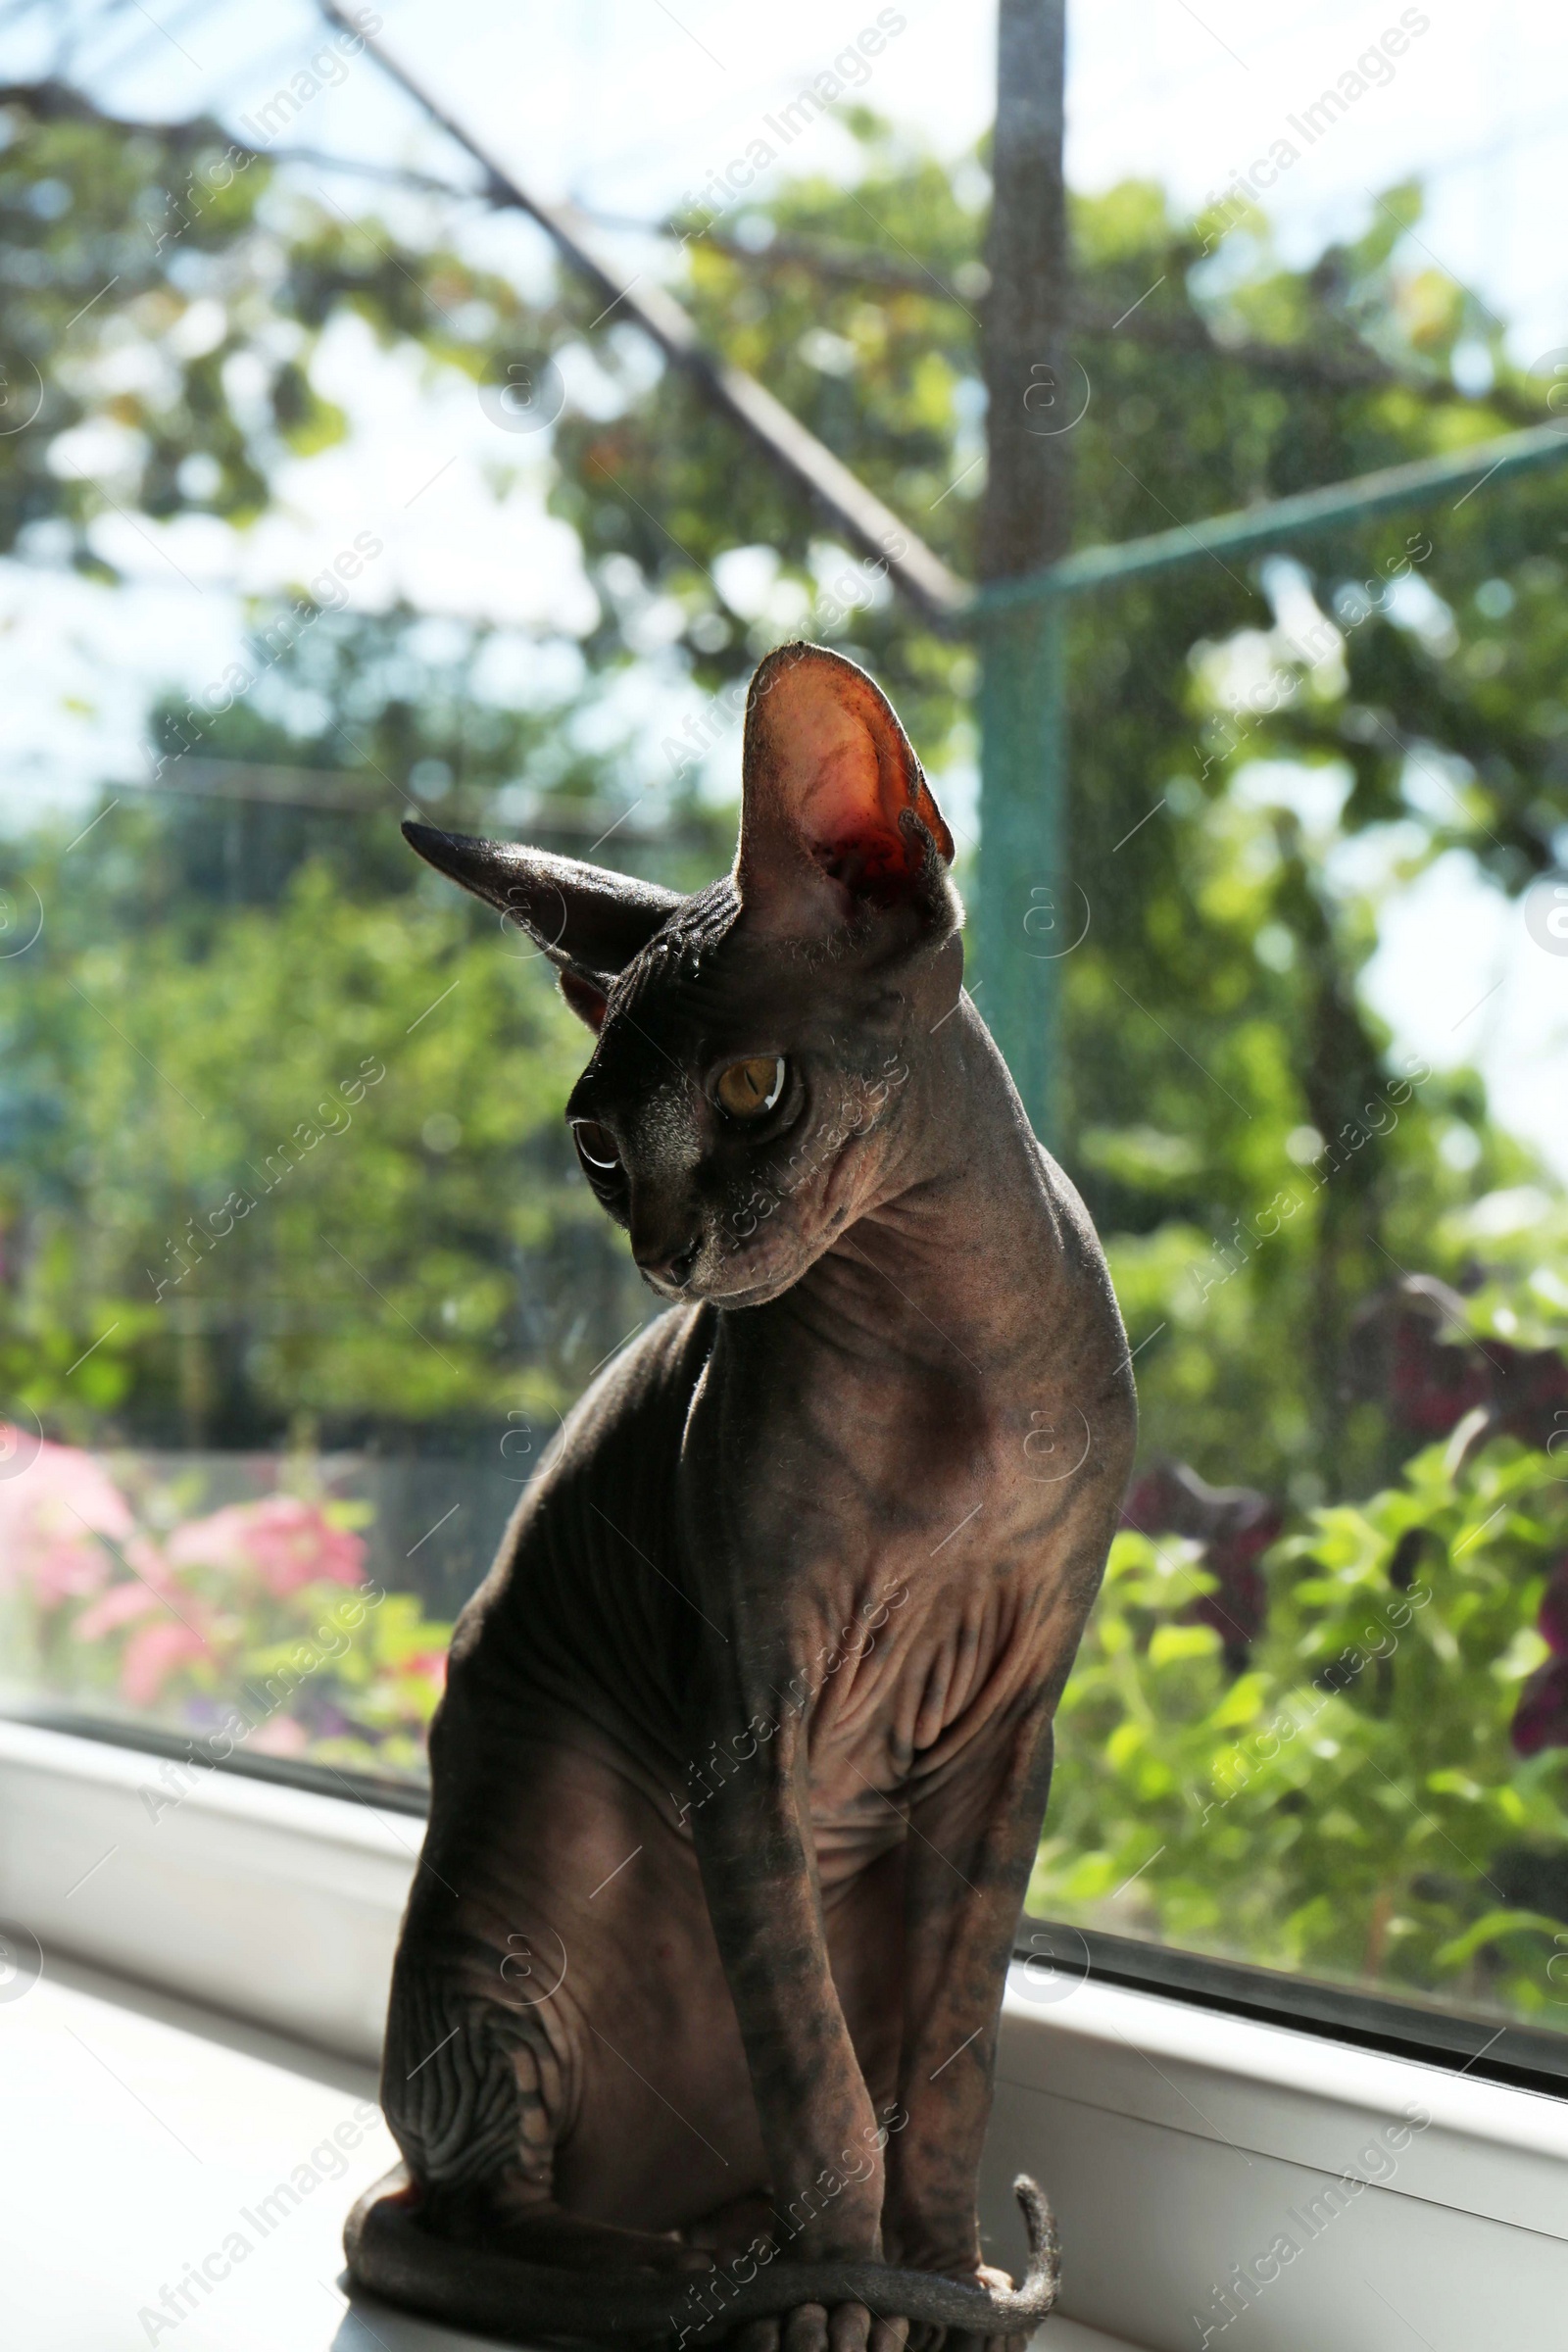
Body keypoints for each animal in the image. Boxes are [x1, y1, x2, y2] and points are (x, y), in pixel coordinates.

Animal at [343, 644, 1133, 2352]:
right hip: (520, 1874)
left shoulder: (1013, 1732)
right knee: (445, 2216)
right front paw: (853, 2293)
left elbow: (951, 2069)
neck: (950, 1346)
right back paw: (700, 2279)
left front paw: (937, 2273)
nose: (666, 1258)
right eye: (596, 1144)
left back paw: (749, 2251)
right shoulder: (748, 1715)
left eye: (756, 1089)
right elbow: (814, 2071)